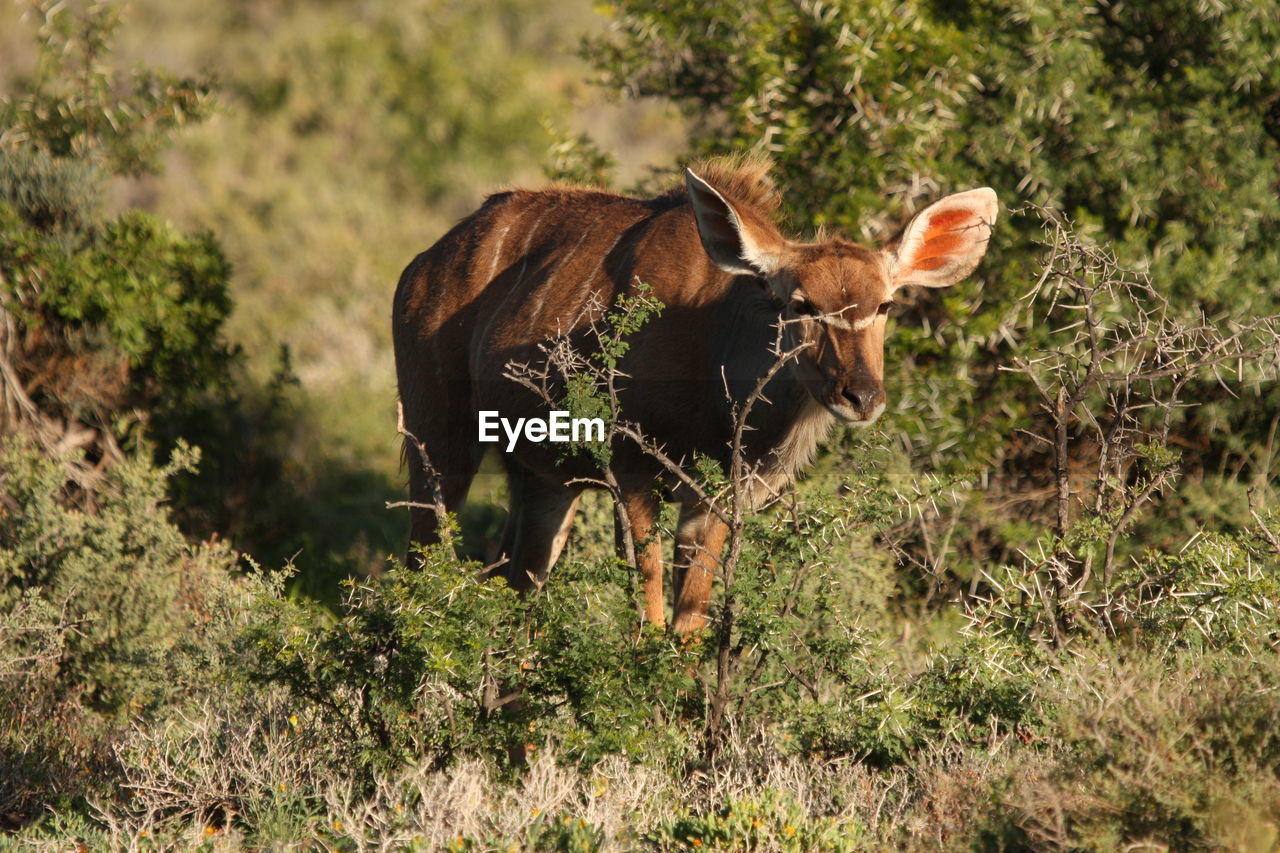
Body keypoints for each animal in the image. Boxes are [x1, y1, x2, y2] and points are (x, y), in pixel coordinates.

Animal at [394, 154, 993, 630]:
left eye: (885, 304)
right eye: (800, 304)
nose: (861, 396)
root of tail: (424, 263)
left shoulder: (715, 498)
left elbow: (689, 626)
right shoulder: (633, 472)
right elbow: (651, 612)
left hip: (543, 478)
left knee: (516, 584)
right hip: (438, 440)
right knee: (422, 564)